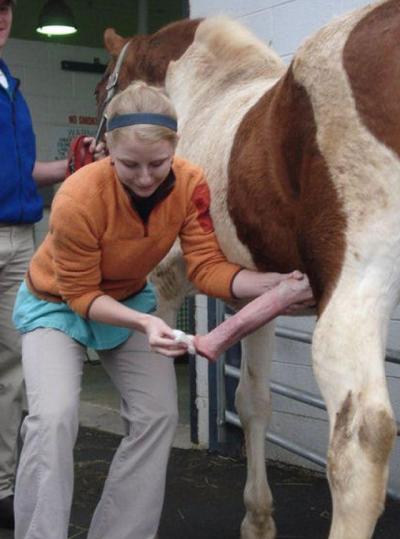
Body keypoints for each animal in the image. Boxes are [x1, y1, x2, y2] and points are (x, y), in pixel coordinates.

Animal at [96, 2, 400, 536]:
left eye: (101, 89)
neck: (205, 97)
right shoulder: (260, 294)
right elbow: (254, 402)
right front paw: (258, 520)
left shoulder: (164, 281)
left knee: (361, 439)